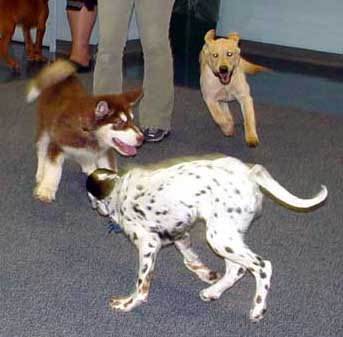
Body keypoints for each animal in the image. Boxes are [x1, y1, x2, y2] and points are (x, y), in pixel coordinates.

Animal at [27, 59, 144, 202]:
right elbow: (53, 170)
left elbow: (109, 167)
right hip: (44, 128)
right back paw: (40, 172)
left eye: (132, 120)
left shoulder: (105, 151)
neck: (88, 133)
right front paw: (46, 189)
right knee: (41, 150)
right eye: (119, 123)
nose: (141, 138)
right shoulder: (57, 143)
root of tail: (62, 78)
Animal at [86, 156, 328, 322]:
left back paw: (258, 308)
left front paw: (127, 304)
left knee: (262, 266)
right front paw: (206, 274)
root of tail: (249, 173)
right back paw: (213, 292)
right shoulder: (179, 234)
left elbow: (141, 283)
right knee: (237, 269)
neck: (118, 190)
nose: (94, 208)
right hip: (227, 234)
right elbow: (190, 259)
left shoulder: (148, 244)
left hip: (220, 237)